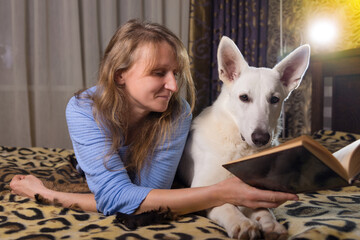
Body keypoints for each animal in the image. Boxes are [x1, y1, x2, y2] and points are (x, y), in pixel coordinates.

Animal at [179, 36, 310, 239]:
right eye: (244, 97)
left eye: (274, 100)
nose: (261, 138)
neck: (240, 148)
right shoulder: (202, 187)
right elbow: (226, 204)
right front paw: (242, 223)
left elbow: (263, 209)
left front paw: (270, 224)